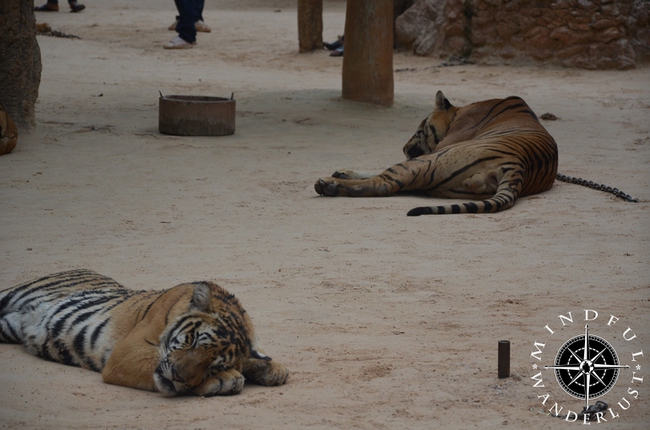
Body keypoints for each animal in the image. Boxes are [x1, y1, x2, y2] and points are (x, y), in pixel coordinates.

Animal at [0, 268, 288, 396]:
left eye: (214, 364)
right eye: (194, 340)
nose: (177, 376)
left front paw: (274, 369)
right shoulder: (127, 350)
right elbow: (152, 361)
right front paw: (227, 380)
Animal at [314, 90, 556, 215]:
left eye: (419, 129)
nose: (404, 148)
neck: (459, 111)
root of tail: (518, 166)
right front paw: (344, 171)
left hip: (430, 161)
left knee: (383, 184)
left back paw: (328, 185)